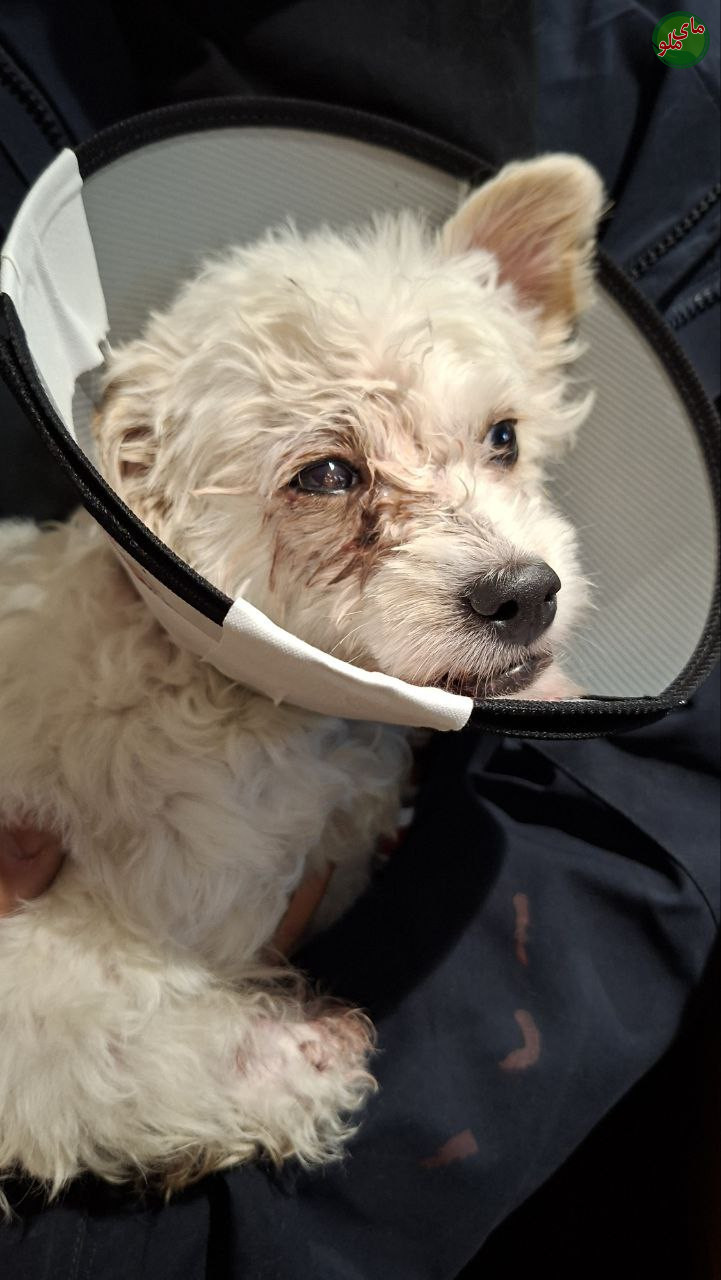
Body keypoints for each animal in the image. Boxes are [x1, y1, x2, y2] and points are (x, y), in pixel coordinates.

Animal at [0, 153, 604, 1204]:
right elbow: (119, 1064)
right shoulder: (59, 973)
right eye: (326, 475)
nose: (526, 595)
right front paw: (291, 1063)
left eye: (503, 437)